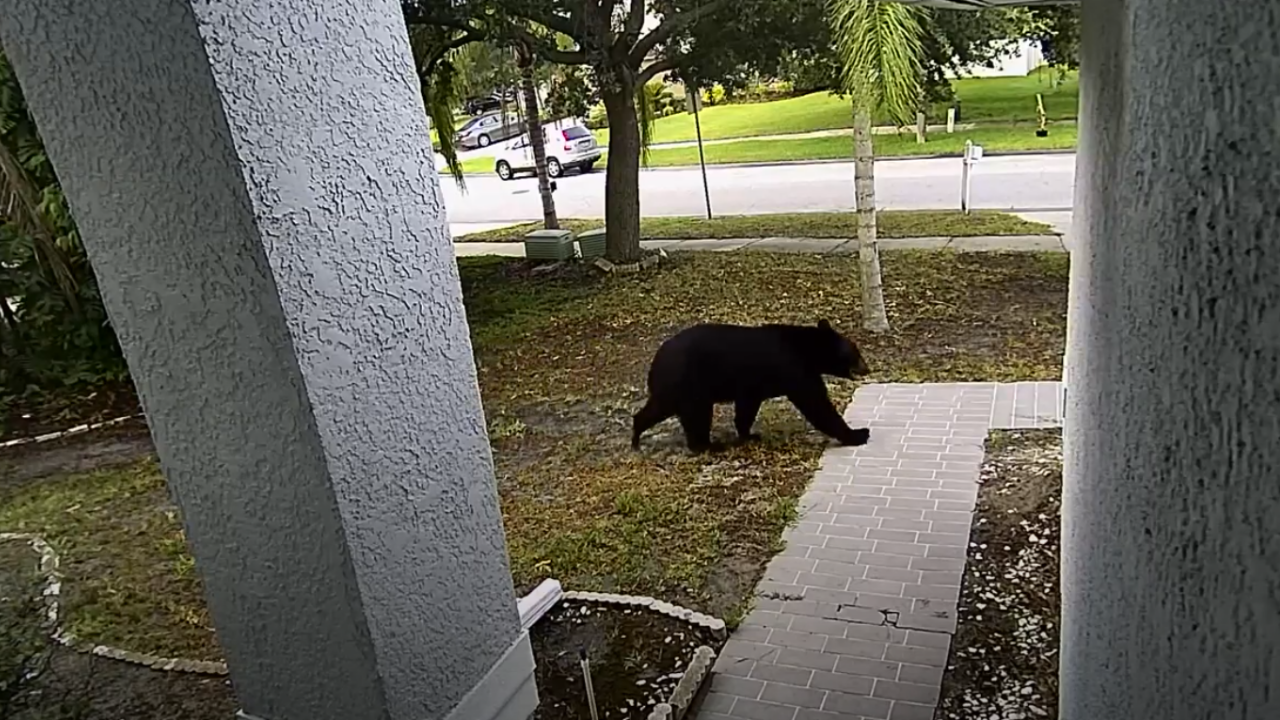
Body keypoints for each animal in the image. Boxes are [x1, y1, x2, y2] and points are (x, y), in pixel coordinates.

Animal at [631, 319, 873, 453]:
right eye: (856, 352)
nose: (867, 368)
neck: (807, 351)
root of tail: (657, 359)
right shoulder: (796, 371)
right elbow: (817, 404)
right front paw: (859, 434)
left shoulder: (752, 387)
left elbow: (746, 408)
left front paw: (749, 435)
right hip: (689, 384)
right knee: (696, 415)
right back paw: (708, 446)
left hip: (675, 388)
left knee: (658, 409)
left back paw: (636, 436)